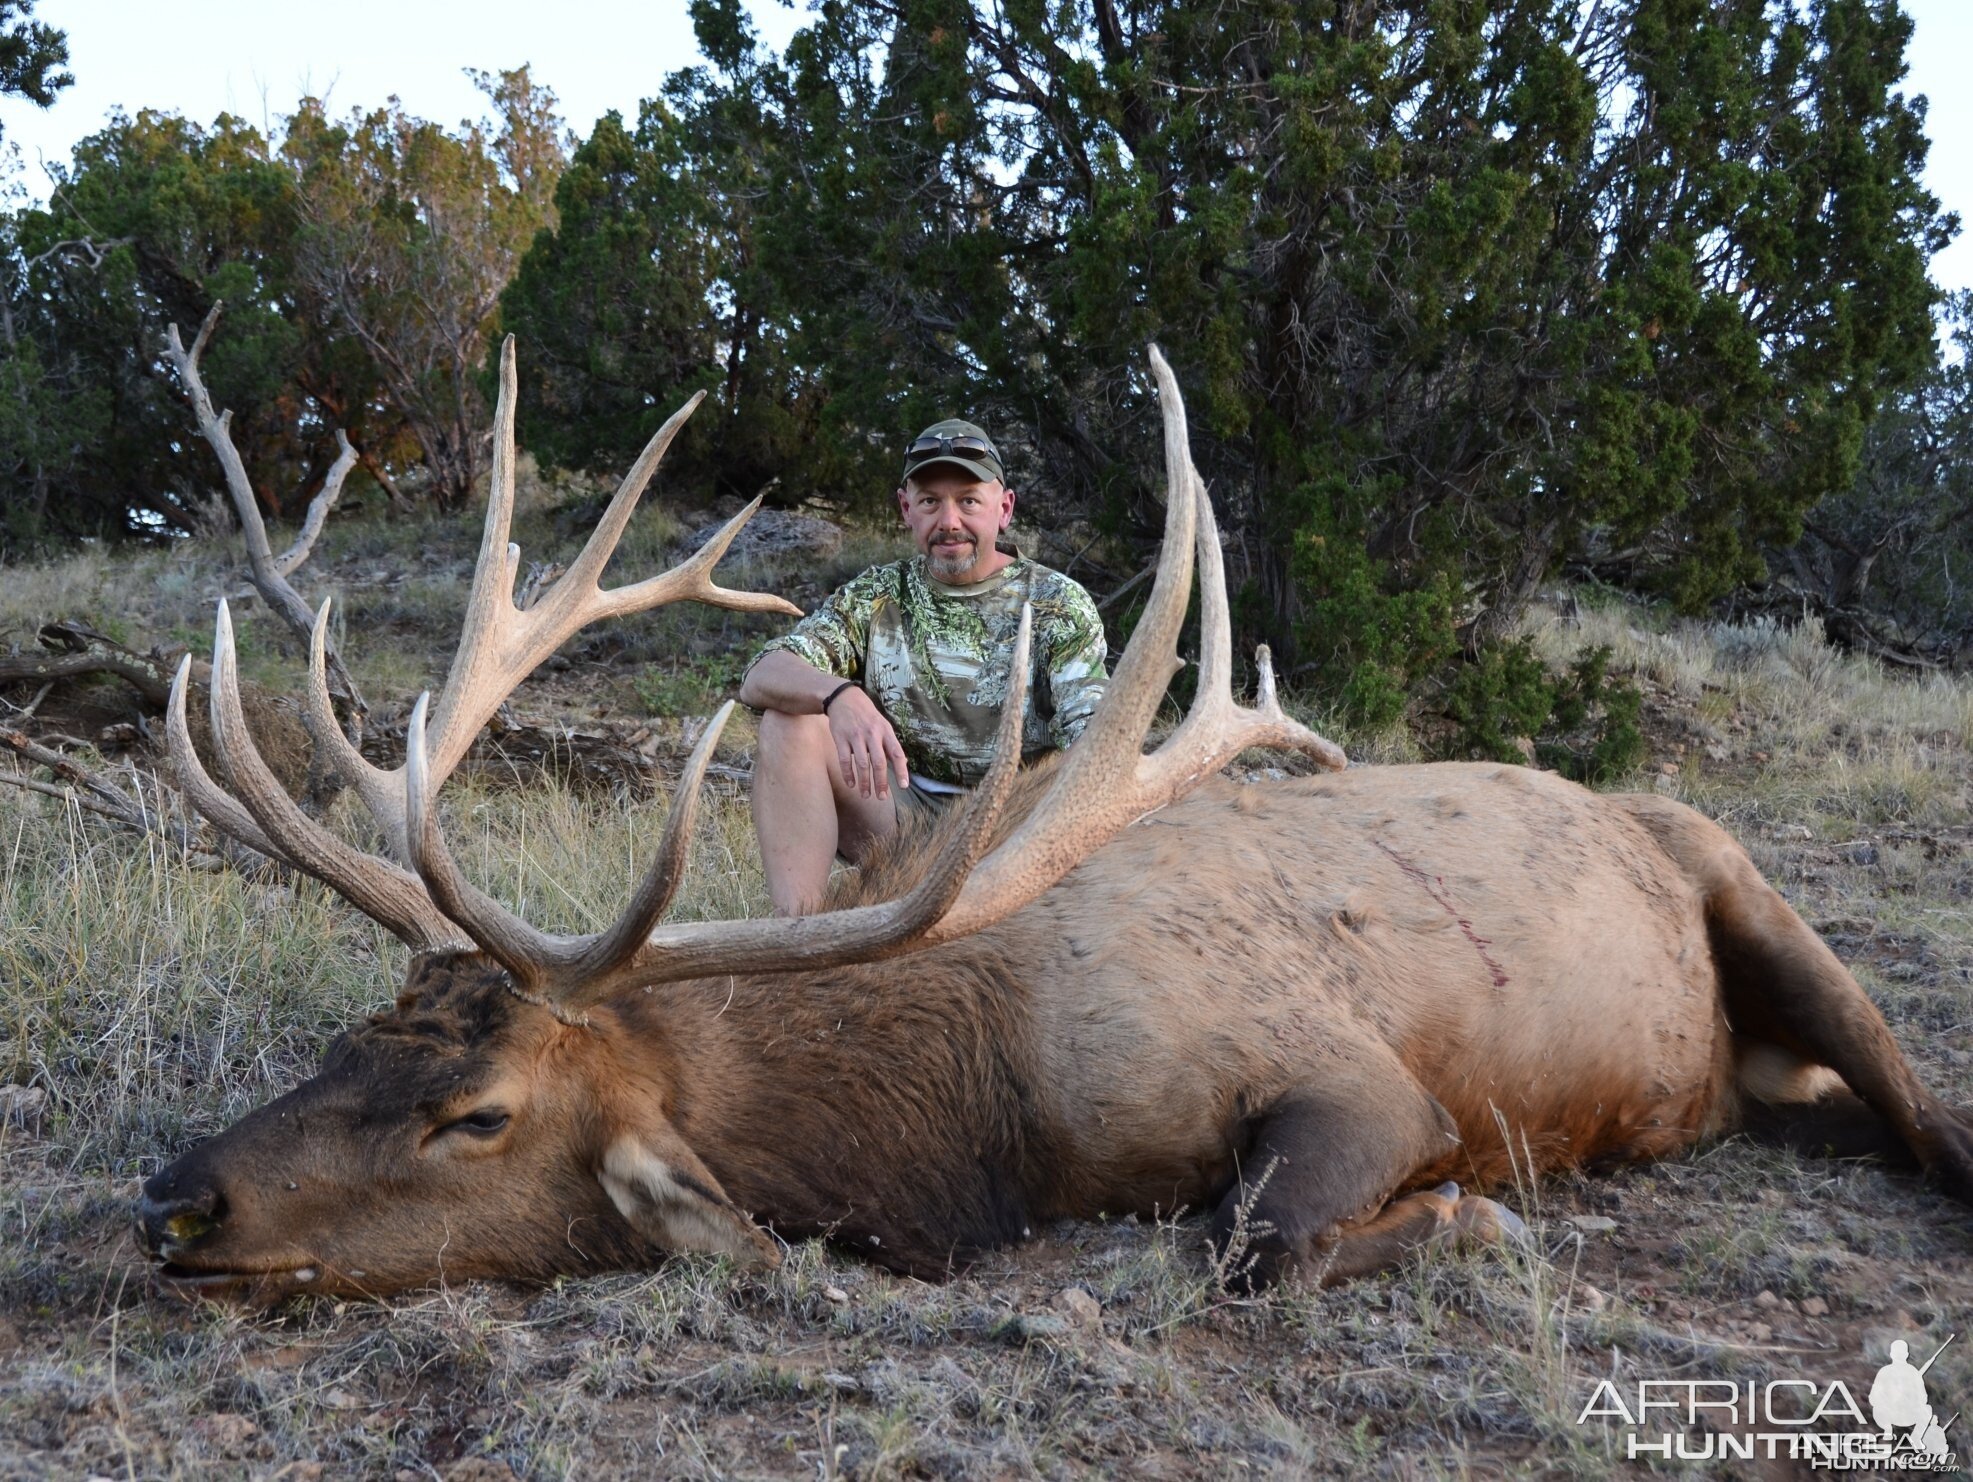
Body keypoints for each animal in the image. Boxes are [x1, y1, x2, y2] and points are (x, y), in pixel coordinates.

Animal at [135, 345, 1973, 1294]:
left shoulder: (1346, 1071)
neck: (977, 1101)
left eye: (481, 1115)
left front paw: (1472, 1211)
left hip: (1755, 894)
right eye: (352, 1038)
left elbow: (1255, 1237)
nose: (176, 1198)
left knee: (1921, 1109)